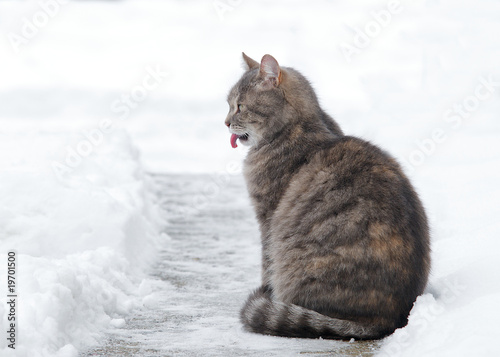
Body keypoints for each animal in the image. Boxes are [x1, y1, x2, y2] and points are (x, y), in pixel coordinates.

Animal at [225, 52, 432, 340]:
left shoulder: (267, 218)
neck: (301, 126)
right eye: (229, 104)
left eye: (240, 106)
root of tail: (388, 320)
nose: (225, 123)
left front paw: (268, 291)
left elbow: (267, 263)